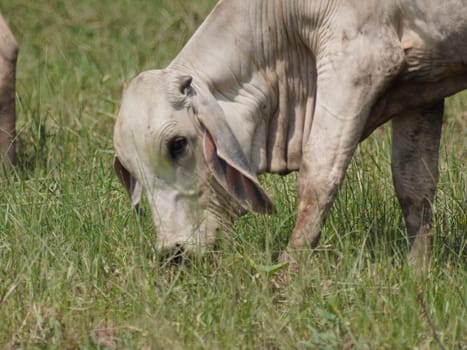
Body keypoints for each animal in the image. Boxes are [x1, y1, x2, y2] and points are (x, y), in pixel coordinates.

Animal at [114, 0, 467, 268]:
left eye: (178, 145)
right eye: (131, 172)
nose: (174, 253)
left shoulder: (360, 60)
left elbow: (319, 175)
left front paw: (288, 268)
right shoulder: (421, 86)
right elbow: (414, 183)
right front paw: (417, 270)